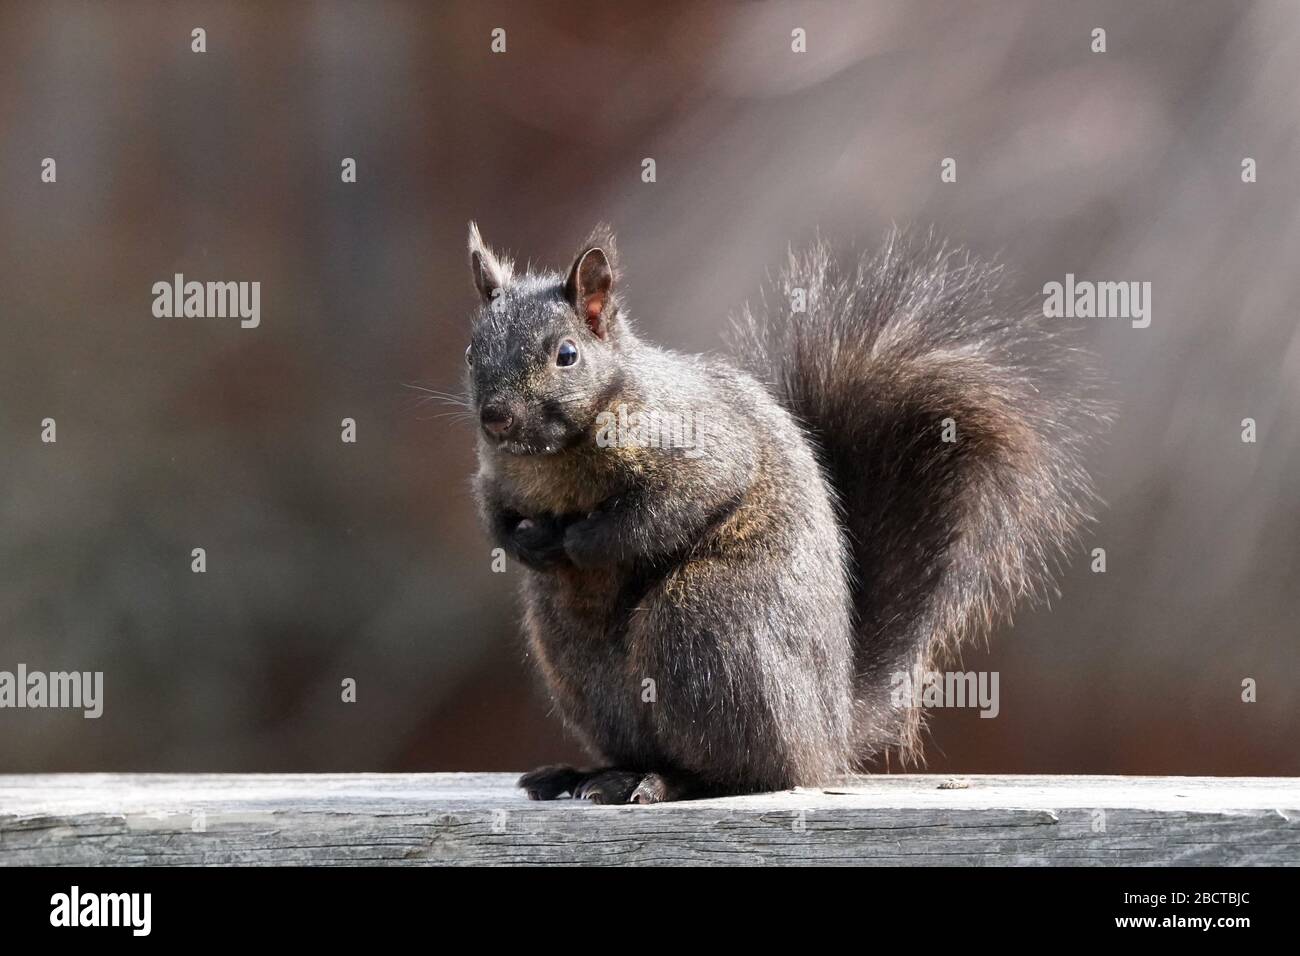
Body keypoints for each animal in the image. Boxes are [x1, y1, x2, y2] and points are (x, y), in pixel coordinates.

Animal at [463, 222, 1106, 804]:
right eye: (472, 351)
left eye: (567, 355)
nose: (495, 418)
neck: (552, 457)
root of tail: (827, 736)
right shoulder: (494, 478)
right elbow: (495, 515)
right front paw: (520, 543)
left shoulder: (698, 445)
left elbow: (671, 506)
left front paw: (579, 541)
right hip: (577, 658)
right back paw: (587, 774)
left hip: (707, 624)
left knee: (752, 770)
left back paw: (669, 780)